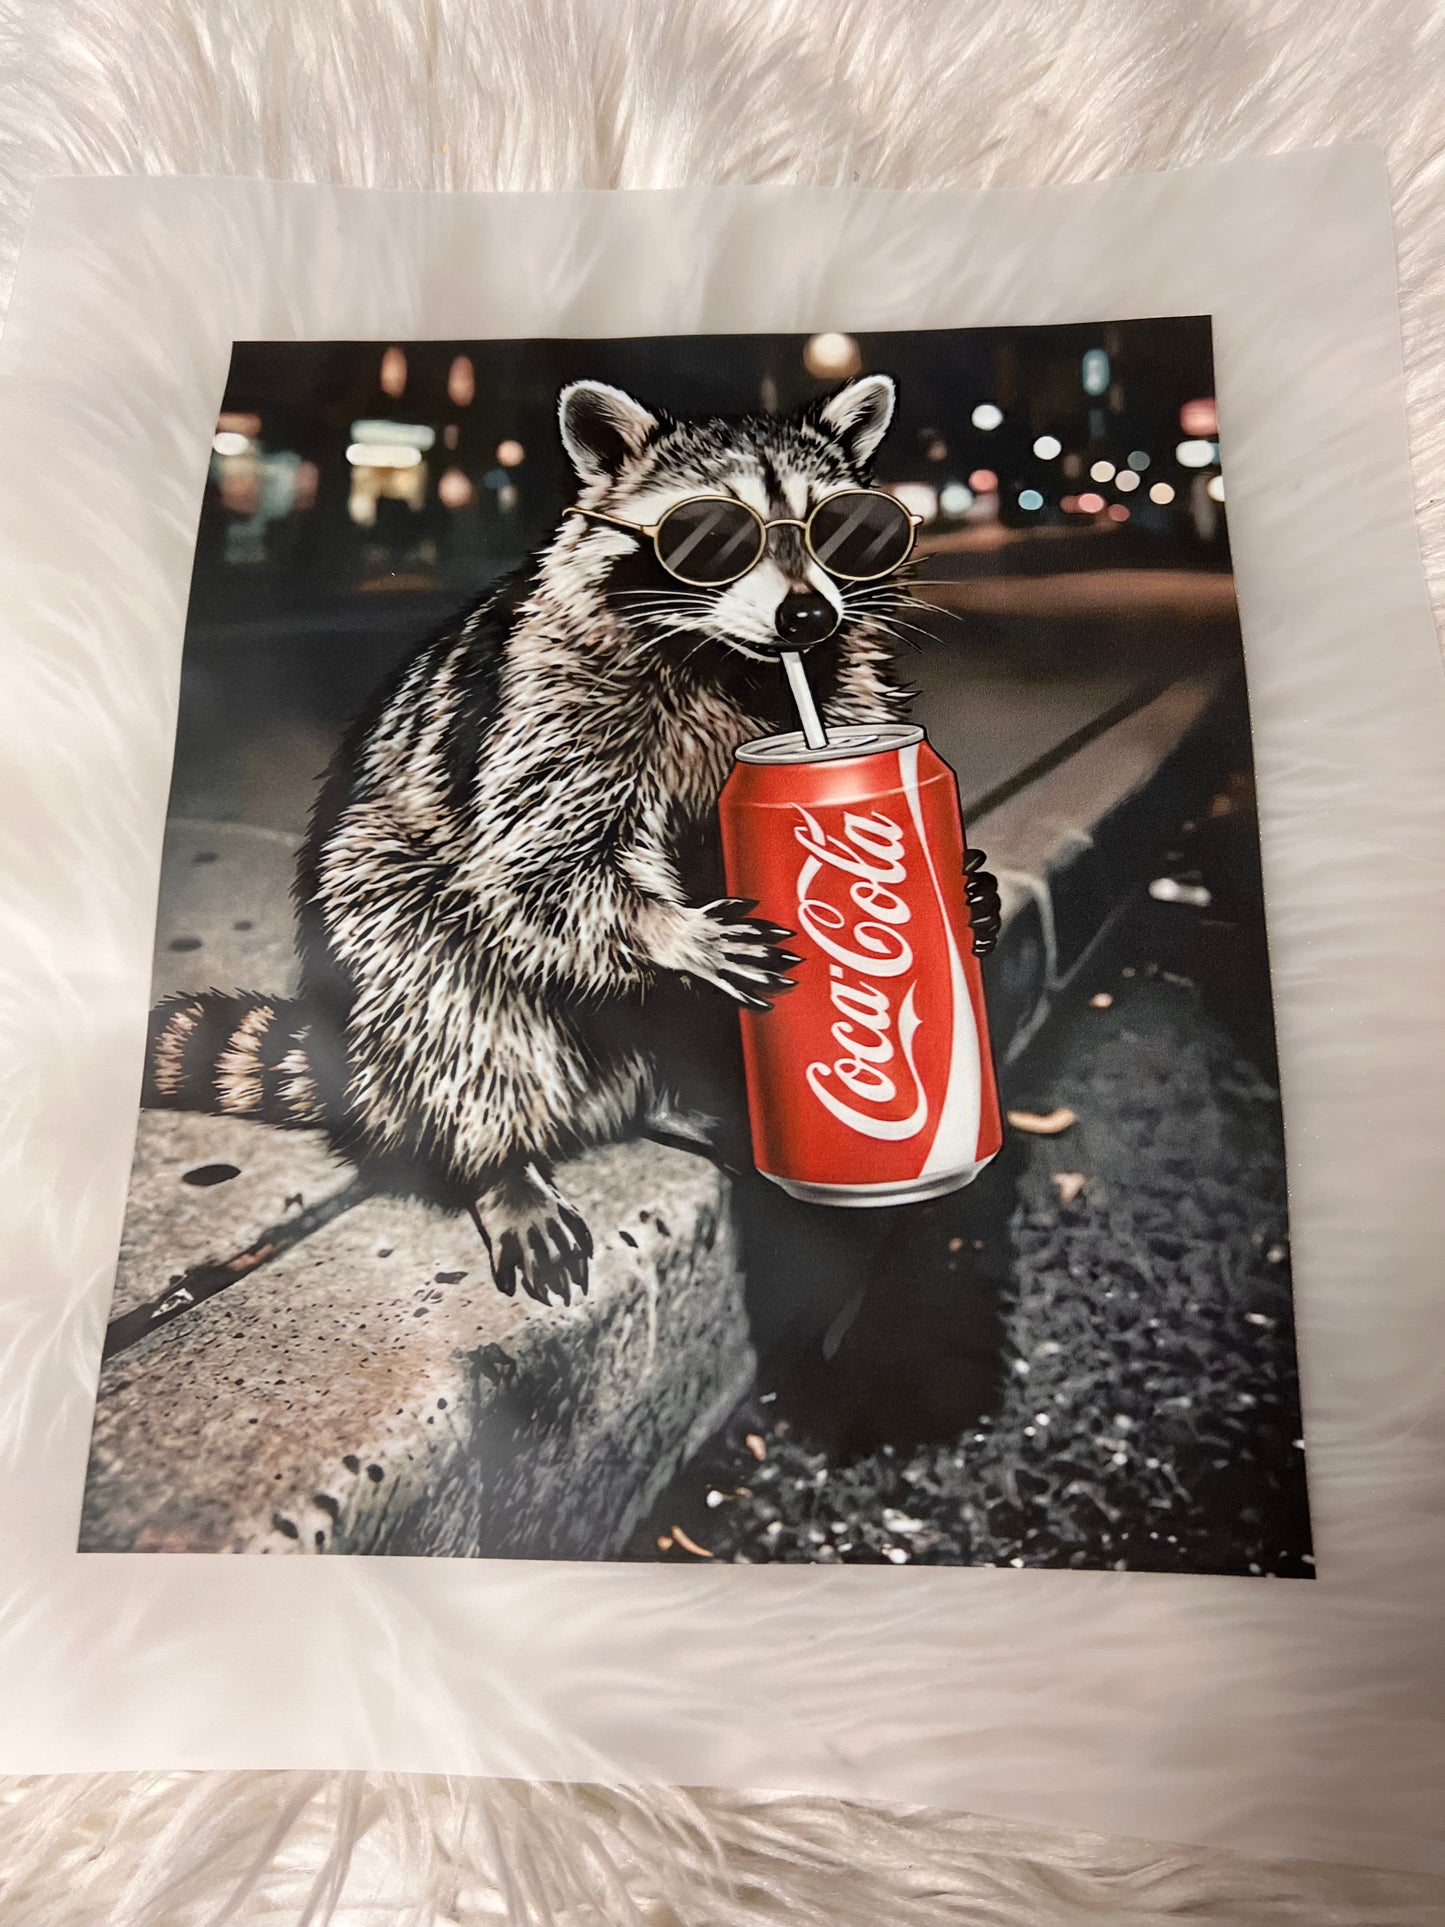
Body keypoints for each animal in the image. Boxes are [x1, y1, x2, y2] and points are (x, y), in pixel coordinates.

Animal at [145, 374, 1001, 1307]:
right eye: (712, 535)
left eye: (846, 527)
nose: (806, 614)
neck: (731, 662)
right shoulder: (552, 705)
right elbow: (542, 859)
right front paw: (671, 929)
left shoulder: (836, 686)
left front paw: (964, 887)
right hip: (382, 901)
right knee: (456, 1004)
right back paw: (501, 1164)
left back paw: (693, 1101)